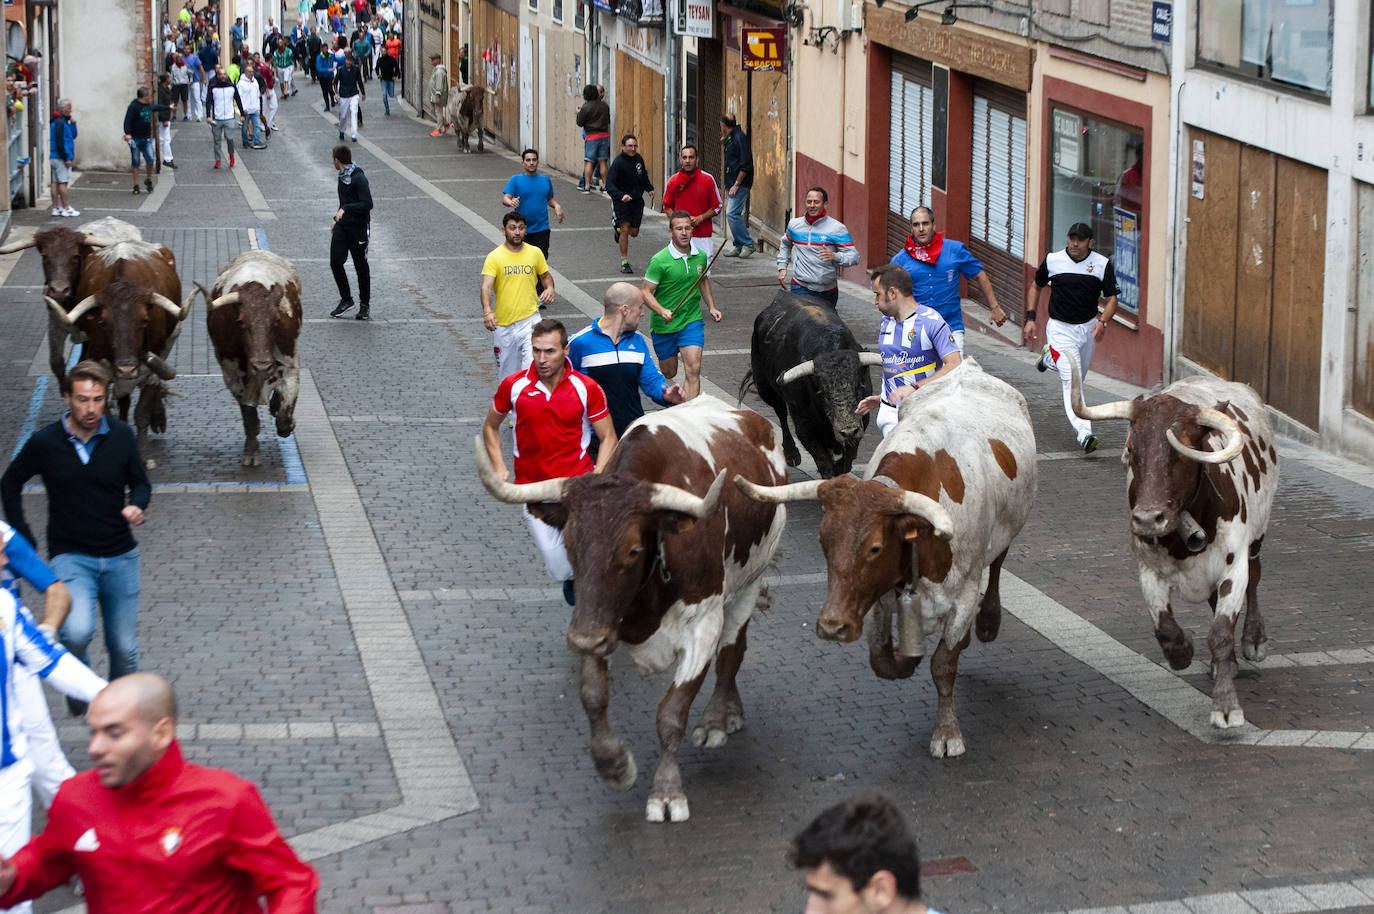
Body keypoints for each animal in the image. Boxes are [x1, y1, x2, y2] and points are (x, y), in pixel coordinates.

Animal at [200, 247, 303, 464]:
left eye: (277, 320)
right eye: (240, 322)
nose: (262, 365)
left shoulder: (290, 366)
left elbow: (284, 417)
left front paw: (288, 422)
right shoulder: (232, 376)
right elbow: (249, 417)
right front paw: (251, 451)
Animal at [478, 395, 791, 824]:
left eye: (633, 550)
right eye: (569, 544)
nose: (580, 638)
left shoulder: (703, 624)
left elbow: (671, 713)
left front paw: (667, 792)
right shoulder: (598, 620)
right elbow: (593, 695)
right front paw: (613, 765)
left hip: (750, 578)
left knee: (733, 646)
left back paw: (718, 716)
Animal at [736, 362, 1033, 753]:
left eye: (875, 547)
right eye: (823, 542)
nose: (832, 626)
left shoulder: (965, 595)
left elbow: (943, 665)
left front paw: (947, 733)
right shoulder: (880, 595)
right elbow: (884, 660)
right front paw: (907, 657)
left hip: (1007, 527)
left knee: (997, 565)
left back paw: (987, 623)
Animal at [741, 292, 879, 478]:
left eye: (861, 387)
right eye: (821, 393)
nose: (848, 430)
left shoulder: (862, 420)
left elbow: (848, 460)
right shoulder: (804, 427)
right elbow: (824, 463)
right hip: (766, 389)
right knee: (781, 413)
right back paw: (792, 454)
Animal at [1066, 357, 1280, 725]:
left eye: (1182, 454)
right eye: (1131, 451)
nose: (1147, 519)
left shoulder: (1234, 568)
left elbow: (1221, 633)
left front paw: (1226, 707)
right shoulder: (1148, 569)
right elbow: (1165, 627)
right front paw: (1183, 653)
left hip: (1257, 538)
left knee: (1256, 580)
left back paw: (1254, 640)